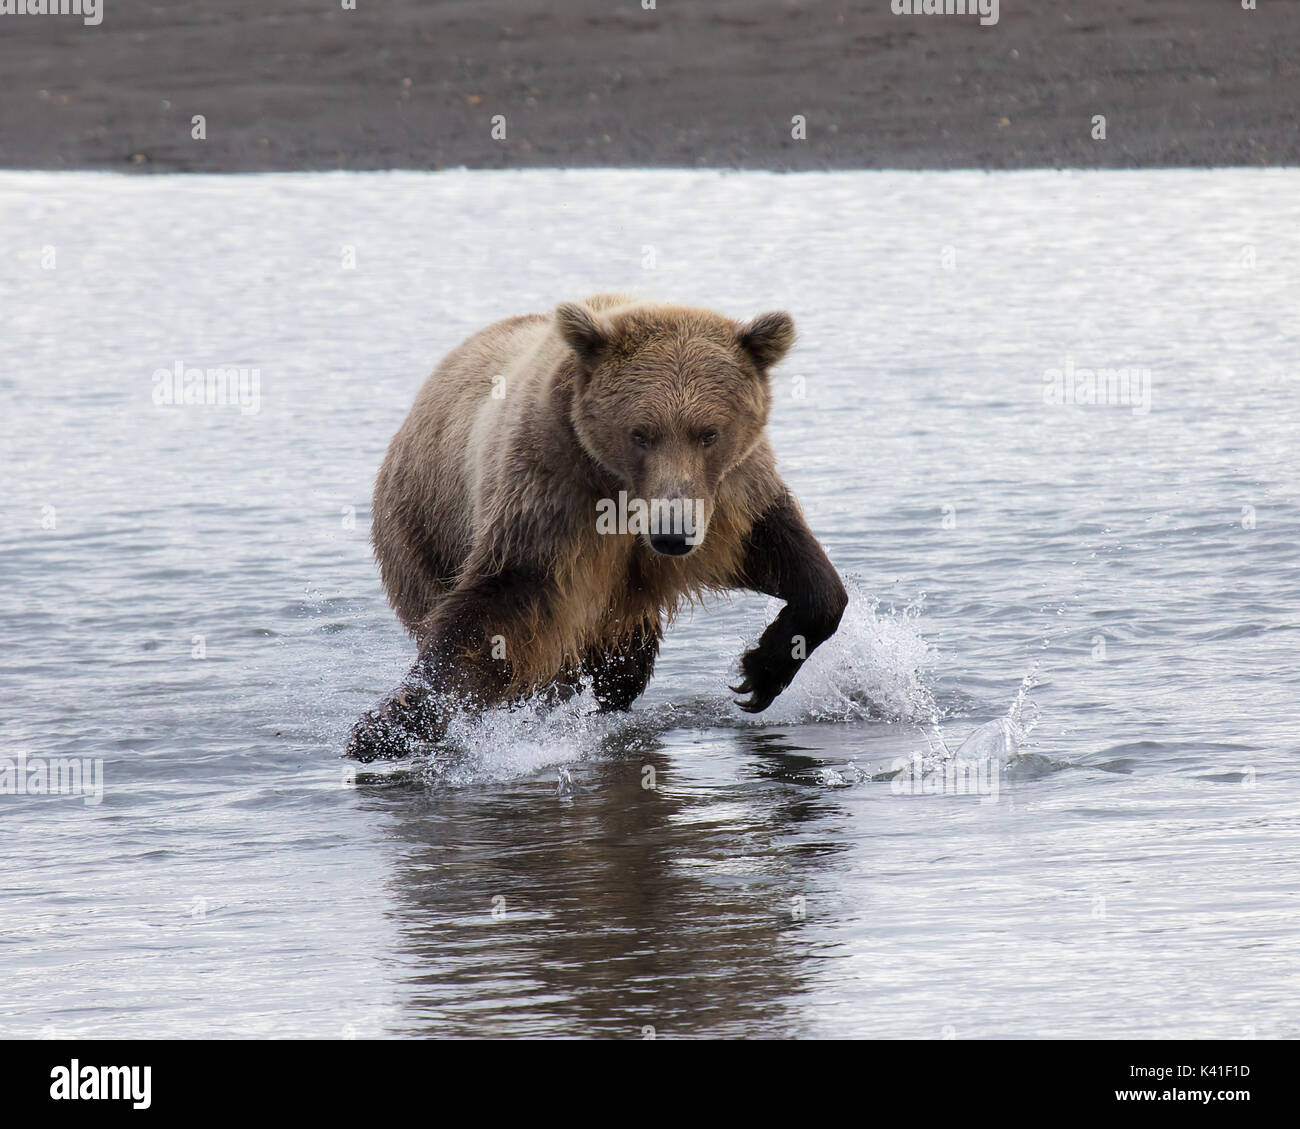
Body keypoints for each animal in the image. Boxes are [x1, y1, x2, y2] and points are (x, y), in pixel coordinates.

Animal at [347, 294, 847, 761]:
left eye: (709, 433)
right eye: (640, 433)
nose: (673, 534)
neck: (624, 495)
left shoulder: (728, 500)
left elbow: (790, 561)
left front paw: (761, 670)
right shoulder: (553, 492)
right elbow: (500, 604)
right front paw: (389, 724)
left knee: (622, 656)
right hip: (421, 531)